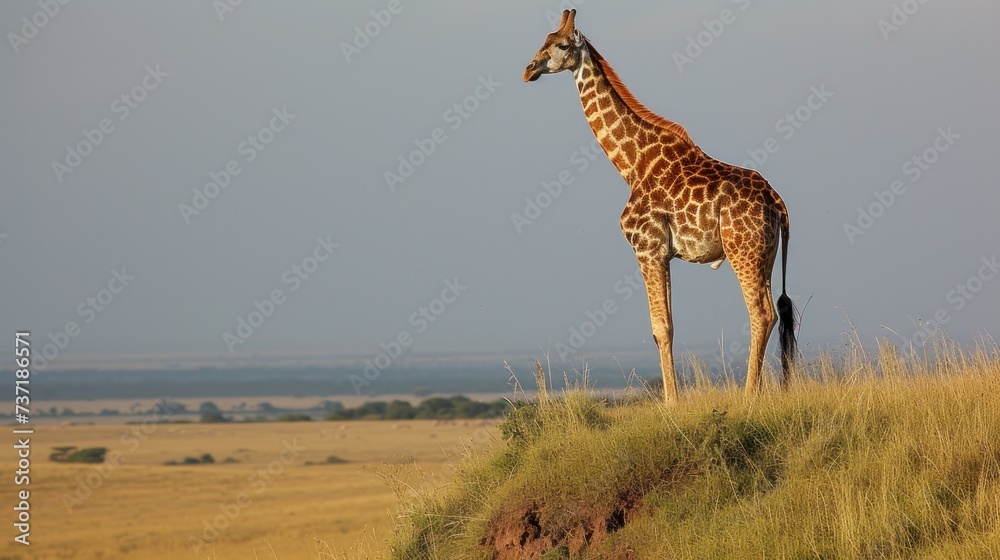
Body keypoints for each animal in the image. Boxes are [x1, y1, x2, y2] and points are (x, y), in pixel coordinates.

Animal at [524, 10, 797, 402]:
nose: (528, 69)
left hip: (743, 250)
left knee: (761, 314)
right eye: (542, 41)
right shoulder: (664, 254)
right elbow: (667, 326)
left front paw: (670, 403)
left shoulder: (647, 248)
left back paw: (749, 395)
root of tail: (777, 202)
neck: (631, 164)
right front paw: (673, 399)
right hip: (767, 254)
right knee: (774, 312)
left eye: (560, 45)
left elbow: (660, 328)